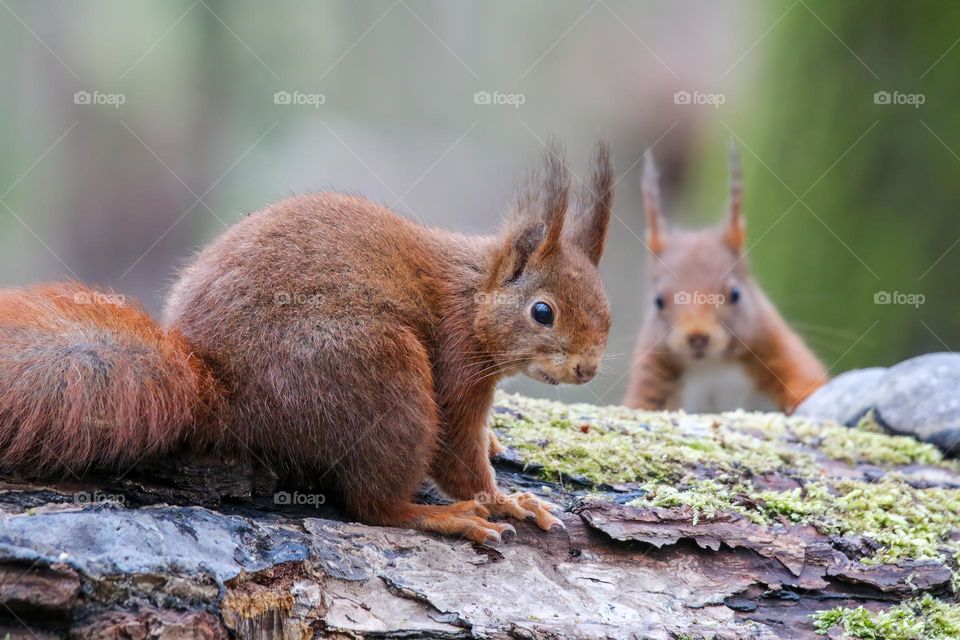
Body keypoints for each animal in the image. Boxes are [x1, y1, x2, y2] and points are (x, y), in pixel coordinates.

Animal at [0, 141, 616, 544]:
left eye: (607, 309)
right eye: (543, 312)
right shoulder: (458, 363)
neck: (474, 296)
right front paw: (508, 500)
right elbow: (456, 454)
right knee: (374, 506)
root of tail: (216, 389)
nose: (586, 369)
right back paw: (442, 516)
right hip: (382, 375)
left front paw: (495, 445)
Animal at [624, 147, 824, 412]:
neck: (712, 365)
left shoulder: (778, 347)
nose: (697, 336)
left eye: (736, 294)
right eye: (658, 301)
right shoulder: (651, 372)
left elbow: (806, 380)